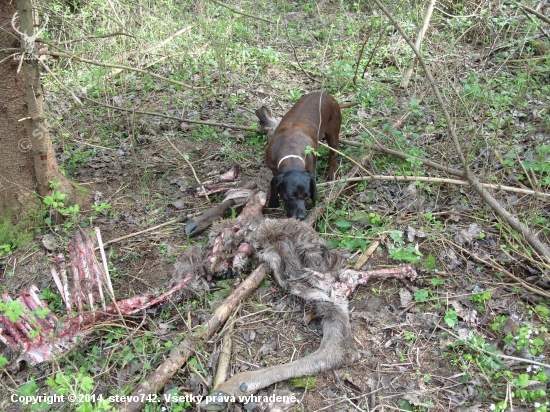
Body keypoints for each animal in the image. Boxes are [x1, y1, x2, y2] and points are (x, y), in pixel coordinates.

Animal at [268, 90, 354, 219]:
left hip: (333, 134)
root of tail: (329, 97)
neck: (291, 150)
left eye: (307, 196)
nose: (301, 217)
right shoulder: (274, 169)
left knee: (332, 156)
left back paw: (331, 173)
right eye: (291, 195)